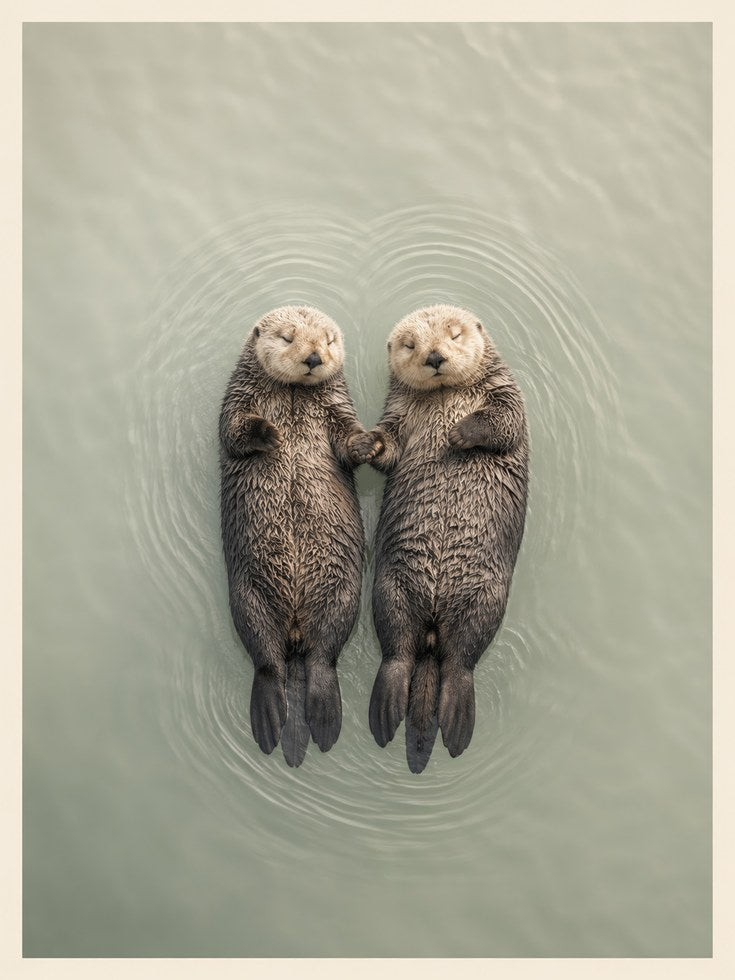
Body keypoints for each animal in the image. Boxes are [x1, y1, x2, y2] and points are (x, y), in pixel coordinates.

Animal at [219, 306, 367, 766]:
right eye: (287, 338)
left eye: (329, 341)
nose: (314, 358)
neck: (292, 397)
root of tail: (297, 634)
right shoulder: (237, 402)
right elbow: (234, 431)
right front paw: (269, 433)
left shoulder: (339, 410)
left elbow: (349, 441)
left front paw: (373, 443)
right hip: (246, 598)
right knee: (267, 662)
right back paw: (273, 721)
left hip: (344, 594)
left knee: (322, 656)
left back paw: (319, 720)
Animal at [350, 305, 529, 773]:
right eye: (411, 344)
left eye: (454, 334)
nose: (433, 357)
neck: (447, 398)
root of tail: (432, 633)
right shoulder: (397, 414)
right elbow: (390, 446)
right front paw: (369, 444)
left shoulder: (506, 394)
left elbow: (504, 422)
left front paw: (460, 433)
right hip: (390, 588)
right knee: (398, 650)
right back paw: (388, 712)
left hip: (485, 600)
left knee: (461, 660)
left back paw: (452, 723)